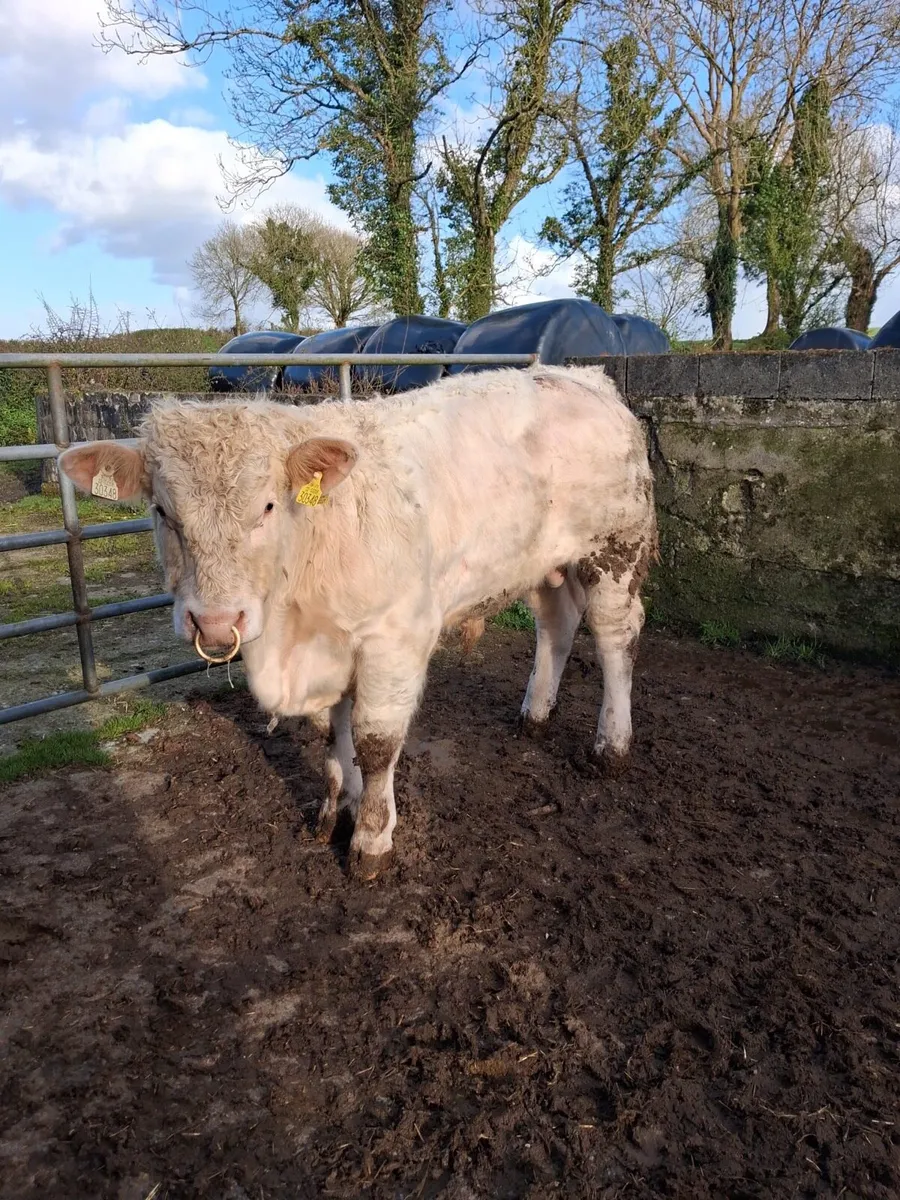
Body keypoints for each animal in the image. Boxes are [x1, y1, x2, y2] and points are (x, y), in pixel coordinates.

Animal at [59, 365, 657, 880]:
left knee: (615, 638)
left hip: (615, 551)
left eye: (268, 506)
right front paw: (333, 813)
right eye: (162, 512)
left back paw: (611, 747)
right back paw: (534, 715)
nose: (215, 620)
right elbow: (331, 737)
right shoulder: (329, 650)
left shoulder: (394, 637)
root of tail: (583, 376)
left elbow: (374, 744)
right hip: (540, 564)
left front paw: (370, 839)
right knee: (556, 625)